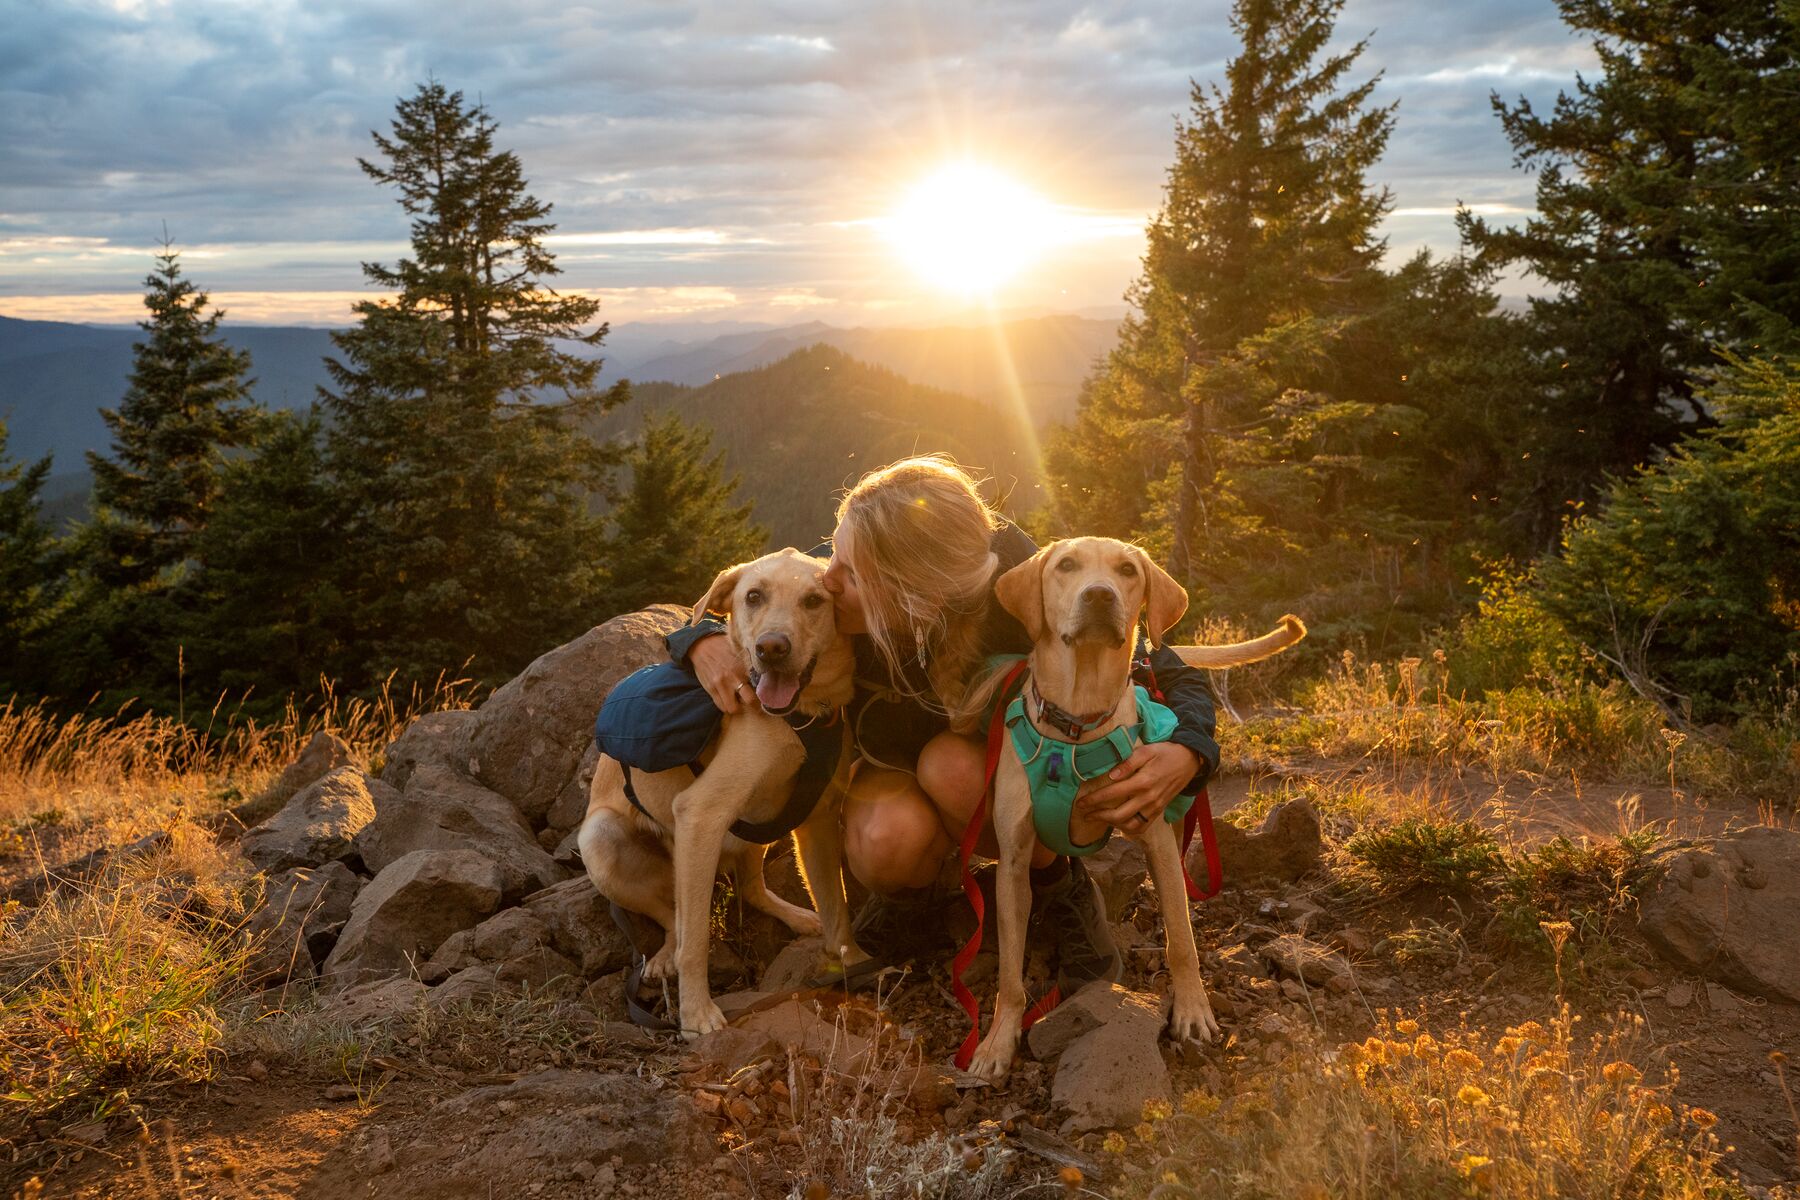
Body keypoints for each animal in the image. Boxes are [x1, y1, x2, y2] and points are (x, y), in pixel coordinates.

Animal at [579, 550, 867, 1036]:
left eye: (814, 600)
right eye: (753, 596)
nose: (772, 648)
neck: (802, 716)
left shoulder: (818, 816)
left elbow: (836, 904)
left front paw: (855, 961)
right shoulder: (701, 812)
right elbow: (695, 939)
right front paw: (697, 1013)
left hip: (757, 830)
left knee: (749, 889)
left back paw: (795, 916)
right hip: (602, 841)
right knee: (674, 919)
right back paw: (662, 959)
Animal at [972, 536, 1310, 1079]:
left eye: (1128, 571)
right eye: (1066, 565)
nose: (1100, 595)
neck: (1079, 724)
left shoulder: (1154, 835)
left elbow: (1182, 943)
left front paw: (1192, 1011)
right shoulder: (1014, 863)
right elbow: (1009, 975)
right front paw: (997, 1043)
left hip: (1170, 829)